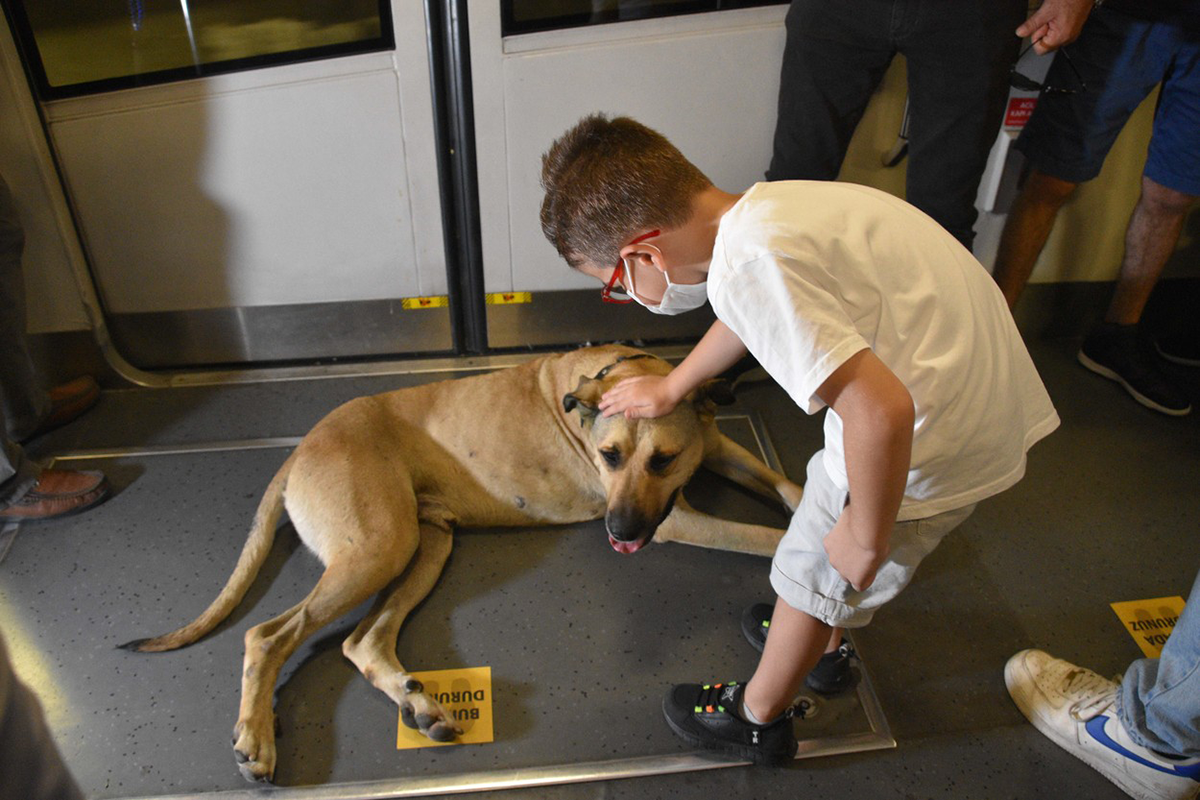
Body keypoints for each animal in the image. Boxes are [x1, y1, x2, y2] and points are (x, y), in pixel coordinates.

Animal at [121, 343, 801, 782]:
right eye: (607, 456)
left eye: (662, 460)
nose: (619, 533)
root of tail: (300, 448)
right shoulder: (677, 519)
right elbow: (767, 538)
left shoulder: (716, 446)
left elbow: (787, 488)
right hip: (378, 549)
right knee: (268, 635)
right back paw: (256, 738)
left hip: (421, 548)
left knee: (361, 642)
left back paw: (419, 706)